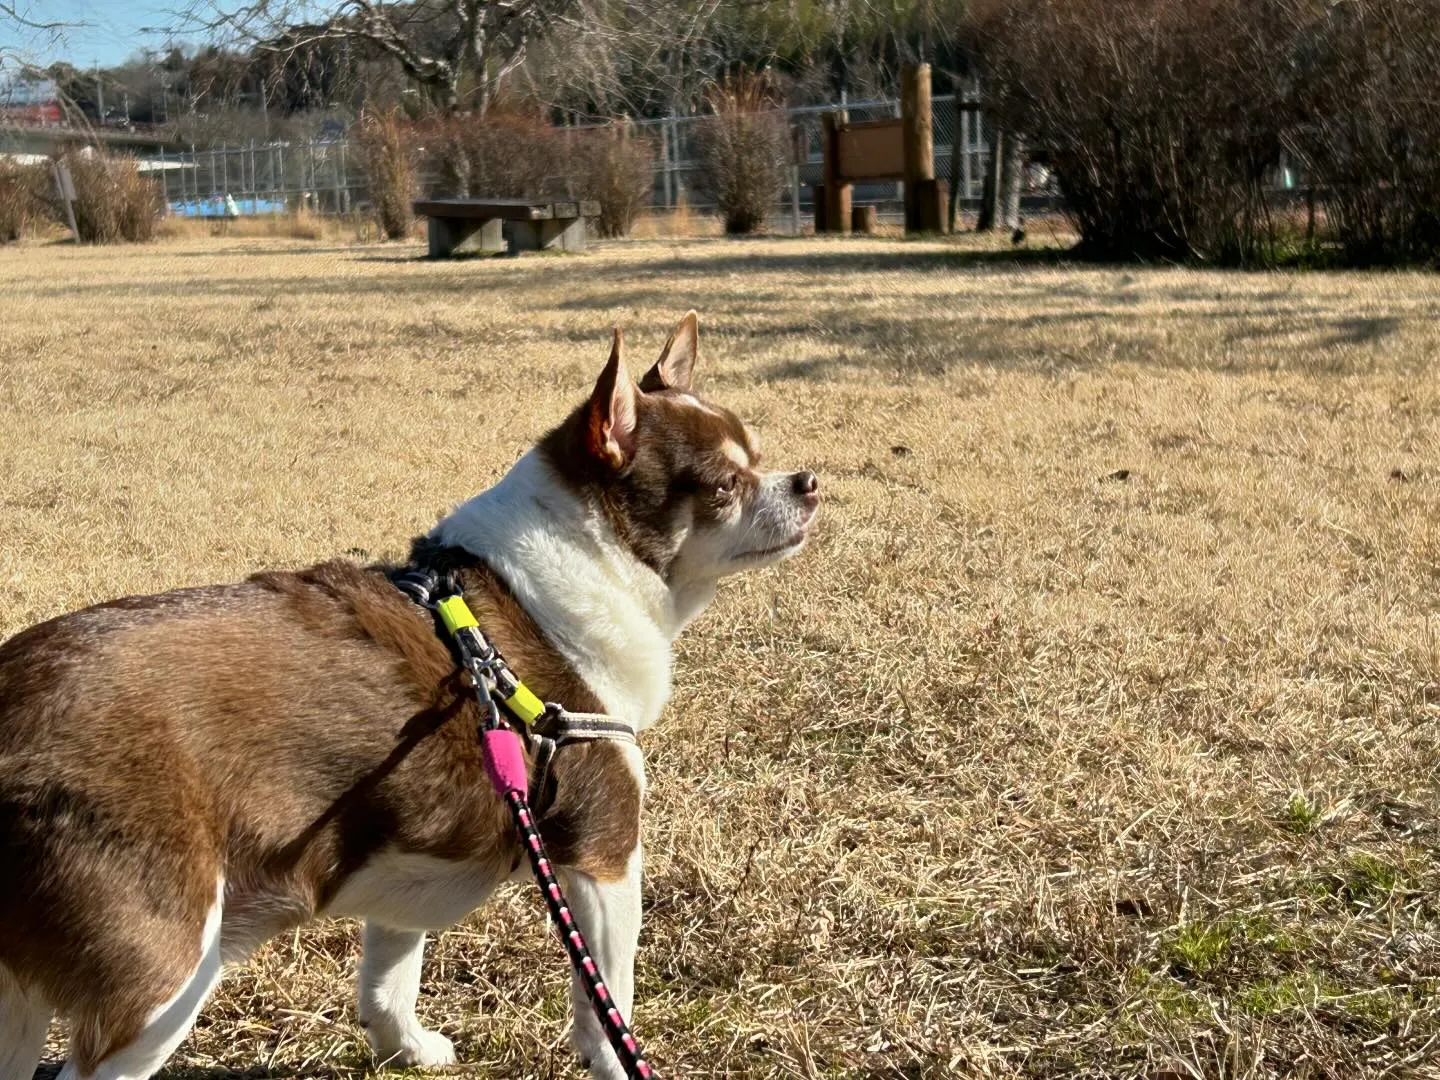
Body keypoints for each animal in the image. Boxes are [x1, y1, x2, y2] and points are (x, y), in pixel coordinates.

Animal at [0, 312, 823, 1080]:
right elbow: (606, 1003)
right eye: (725, 485)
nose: (808, 482)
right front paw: (615, 1057)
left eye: (759, 455)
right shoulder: (603, 857)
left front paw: (407, 1048)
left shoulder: (412, 841)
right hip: (164, 974)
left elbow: (390, 975)